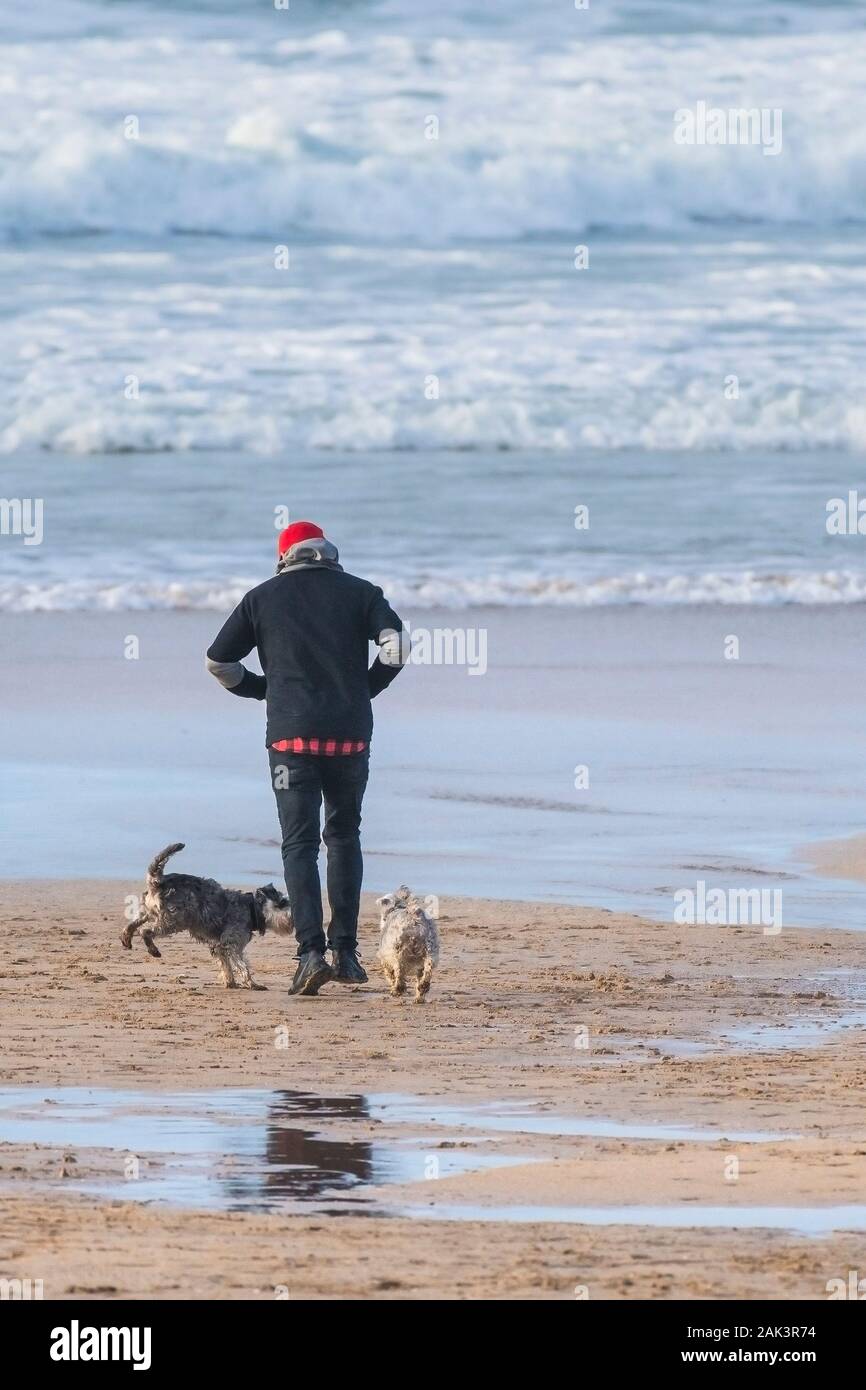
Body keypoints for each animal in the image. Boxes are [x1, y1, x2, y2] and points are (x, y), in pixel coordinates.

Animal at [118, 845, 296, 989]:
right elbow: (242, 966)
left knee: (132, 925)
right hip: (173, 921)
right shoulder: (232, 944)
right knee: (146, 931)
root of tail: (158, 881)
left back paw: (126, 939)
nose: (293, 916)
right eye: (282, 903)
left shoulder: (218, 946)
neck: (251, 909)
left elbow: (226, 965)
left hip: (148, 912)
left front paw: (230, 982)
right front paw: (252, 984)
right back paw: (153, 950)